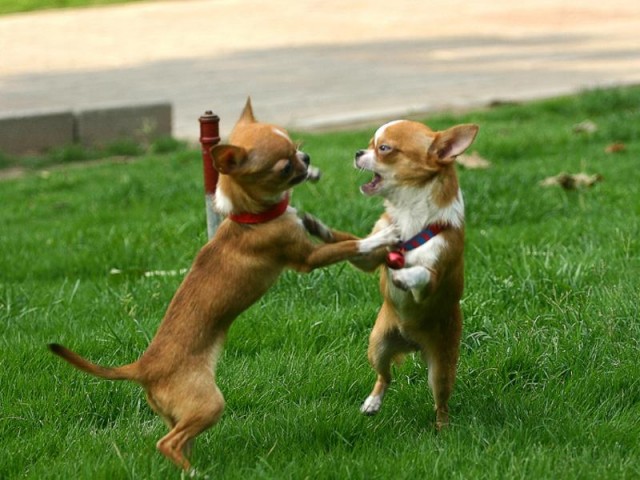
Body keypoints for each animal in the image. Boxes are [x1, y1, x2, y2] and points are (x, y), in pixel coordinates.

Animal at [48, 99, 400, 470]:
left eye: (297, 148)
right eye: (284, 166)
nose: (305, 159)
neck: (251, 218)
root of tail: (143, 367)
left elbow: (341, 237)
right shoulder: (307, 259)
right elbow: (349, 245)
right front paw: (382, 237)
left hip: (178, 413)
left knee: (178, 439)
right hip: (208, 404)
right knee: (168, 443)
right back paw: (194, 473)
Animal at [302, 119, 478, 428]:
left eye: (384, 149)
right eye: (370, 144)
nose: (358, 152)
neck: (409, 213)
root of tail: (414, 344)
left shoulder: (433, 279)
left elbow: (421, 274)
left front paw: (404, 277)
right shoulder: (371, 257)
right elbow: (351, 242)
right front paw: (319, 227)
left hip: (442, 367)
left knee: (441, 402)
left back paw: (443, 429)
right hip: (378, 345)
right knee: (386, 376)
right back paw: (372, 402)